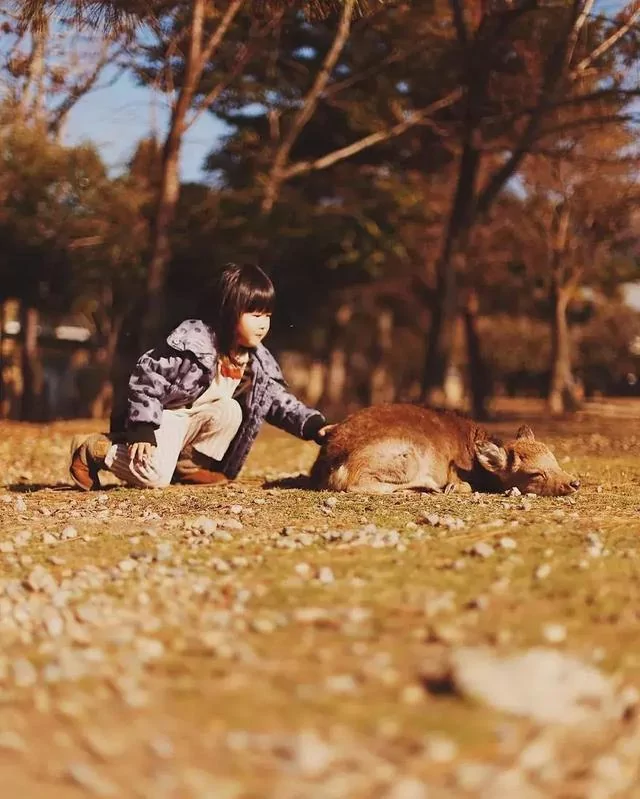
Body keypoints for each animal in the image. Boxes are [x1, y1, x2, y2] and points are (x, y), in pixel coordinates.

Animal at [310, 404, 580, 496]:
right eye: (535, 473)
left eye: (555, 461)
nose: (574, 482)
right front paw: (454, 486)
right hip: (408, 458)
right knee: (356, 484)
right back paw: (429, 486)